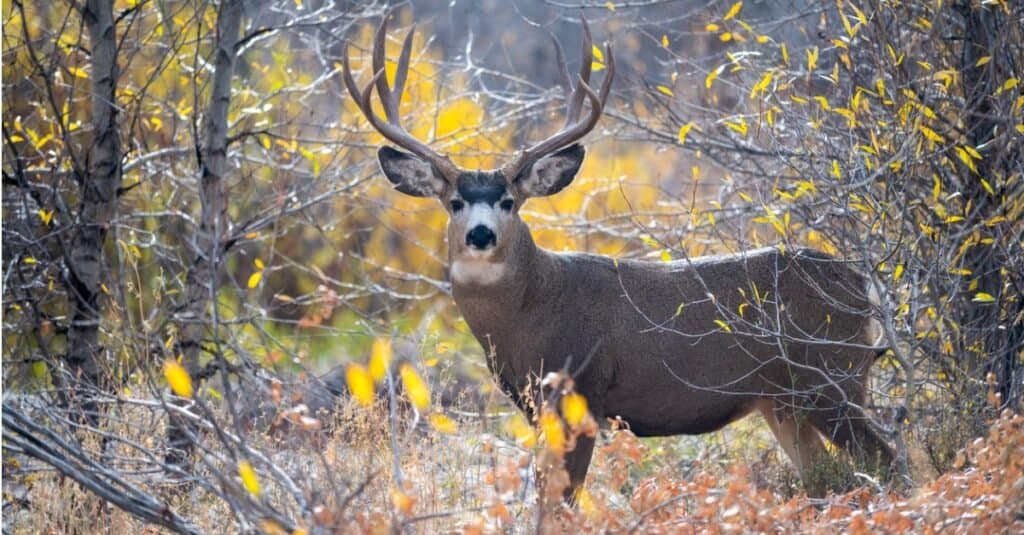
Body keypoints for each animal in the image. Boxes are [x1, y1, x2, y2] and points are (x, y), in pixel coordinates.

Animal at [339, 14, 892, 498]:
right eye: (454, 201)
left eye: (509, 201)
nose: (479, 234)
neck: (534, 312)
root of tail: (857, 282)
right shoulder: (538, 408)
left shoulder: (582, 391)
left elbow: (559, 500)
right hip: (784, 401)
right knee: (821, 474)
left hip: (832, 379)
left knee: (889, 459)